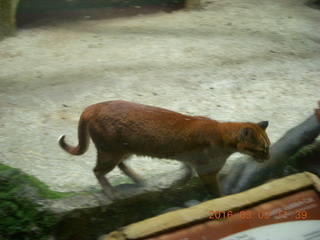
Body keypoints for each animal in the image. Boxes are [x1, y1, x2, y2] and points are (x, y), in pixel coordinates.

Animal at [58, 100, 270, 200]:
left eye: (268, 147)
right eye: (262, 150)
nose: (268, 158)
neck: (223, 134)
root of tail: (92, 107)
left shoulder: (188, 158)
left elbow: (187, 169)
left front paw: (182, 179)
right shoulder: (207, 170)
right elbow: (214, 190)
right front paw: (221, 199)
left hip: (122, 149)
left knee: (120, 165)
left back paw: (139, 179)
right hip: (110, 151)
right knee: (98, 170)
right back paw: (112, 193)